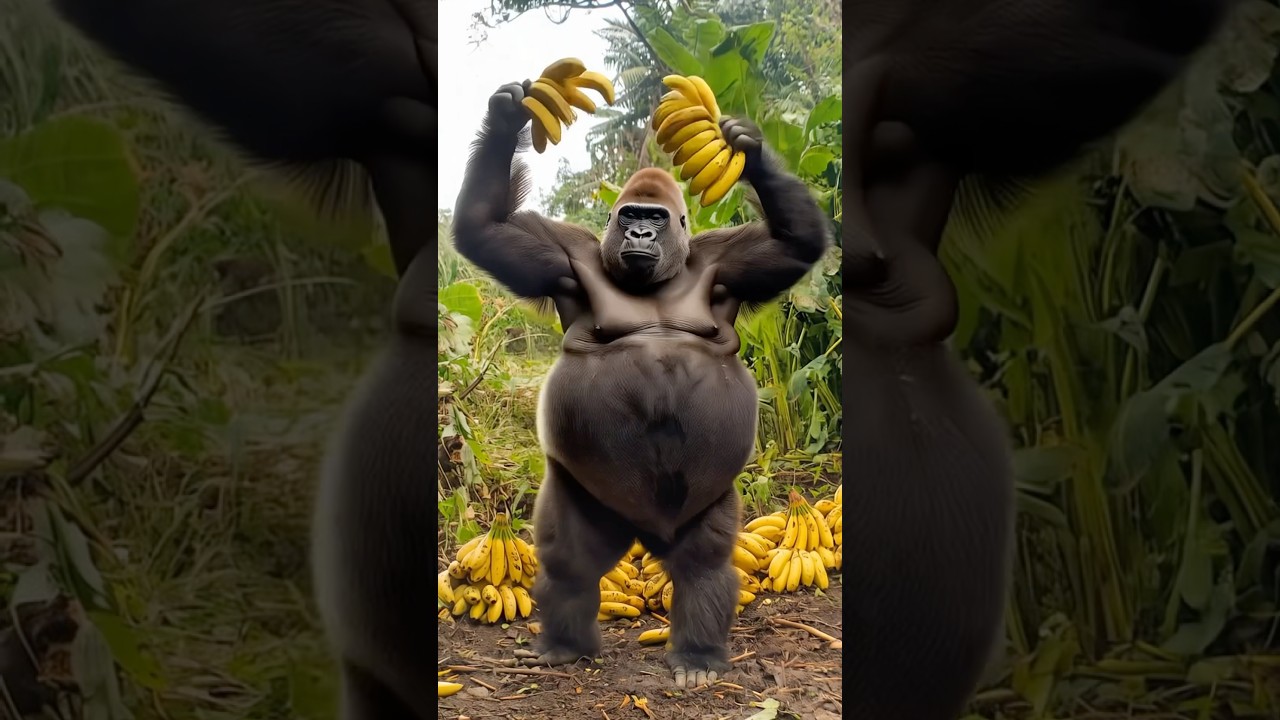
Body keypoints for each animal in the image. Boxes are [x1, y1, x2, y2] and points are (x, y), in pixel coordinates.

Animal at [449, 81, 830, 688]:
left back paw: (697, 656)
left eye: (655, 217)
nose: (641, 233)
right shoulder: (569, 254)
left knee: (702, 563)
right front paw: (508, 116)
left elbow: (797, 246)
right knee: (571, 559)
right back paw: (566, 645)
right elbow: (485, 231)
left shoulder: (726, 259)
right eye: (628, 216)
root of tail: (644, 533)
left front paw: (747, 147)